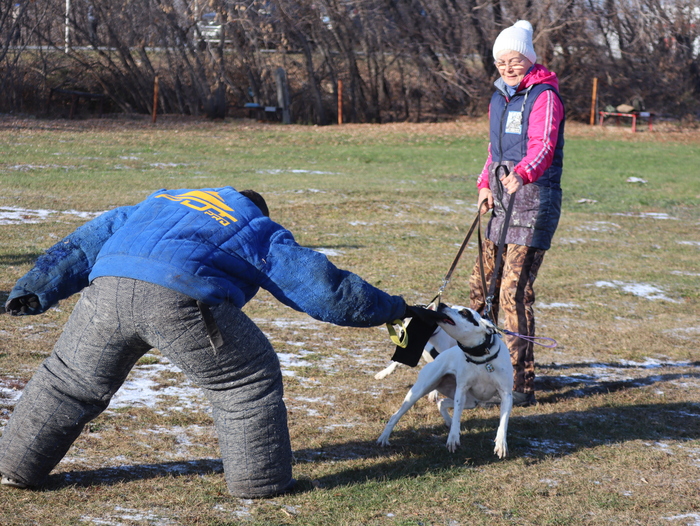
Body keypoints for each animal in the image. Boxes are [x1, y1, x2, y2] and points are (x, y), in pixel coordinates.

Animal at [377, 304, 513, 458]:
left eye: (465, 312)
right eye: (453, 306)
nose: (442, 305)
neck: (481, 357)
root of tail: (438, 358)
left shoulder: (506, 395)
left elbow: (503, 422)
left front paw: (501, 444)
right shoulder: (461, 391)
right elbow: (457, 416)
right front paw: (453, 438)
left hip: (471, 402)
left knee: (441, 403)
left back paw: (448, 421)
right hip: (418, 392)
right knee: (396, 415)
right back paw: (384, 438)